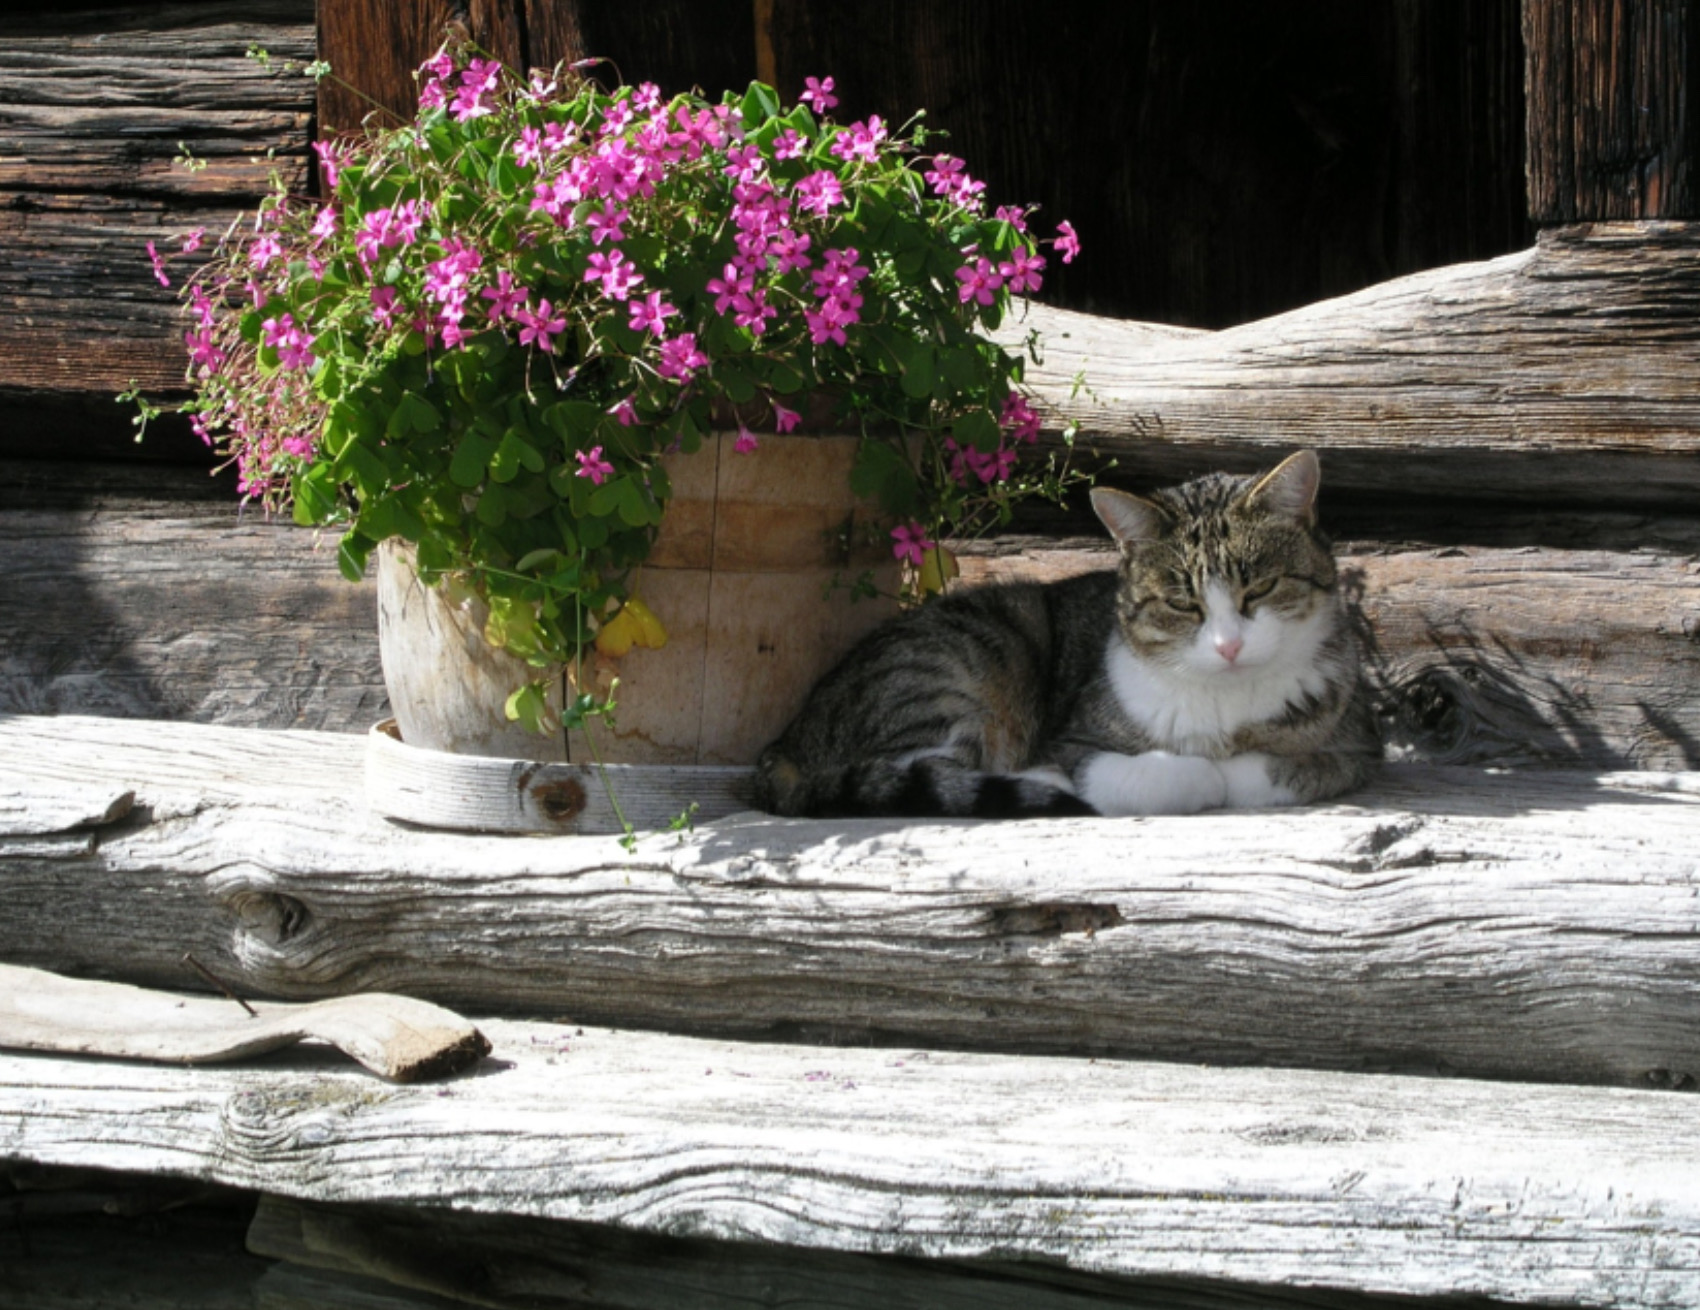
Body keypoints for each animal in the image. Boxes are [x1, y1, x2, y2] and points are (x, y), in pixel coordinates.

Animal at [758, 451, 1380, 818]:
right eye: (1182, 603)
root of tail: (784, 741)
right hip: (963, 669)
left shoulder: (1353, 744)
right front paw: (1197, 772)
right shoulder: (1078, 741)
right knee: (919, 771)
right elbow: (1175, 773)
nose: (1229, 646)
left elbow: (1281, 768)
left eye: (1262, 588)